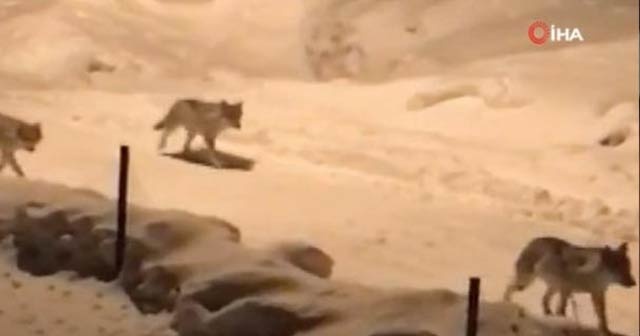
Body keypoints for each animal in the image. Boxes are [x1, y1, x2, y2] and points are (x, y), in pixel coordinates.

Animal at [504, 236, 636, 336]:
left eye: (628, 268)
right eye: (619, 270)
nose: (634, 283)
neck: (592, 274)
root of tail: (533, 240)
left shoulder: (597, 294)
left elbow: (602, 317)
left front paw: (606, 332)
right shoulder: (566, 290)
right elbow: (562, 311)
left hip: (552, 287)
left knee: (544, 299)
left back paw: (548, 316)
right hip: (525, 283)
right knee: (509, 287)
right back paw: (506, 303)